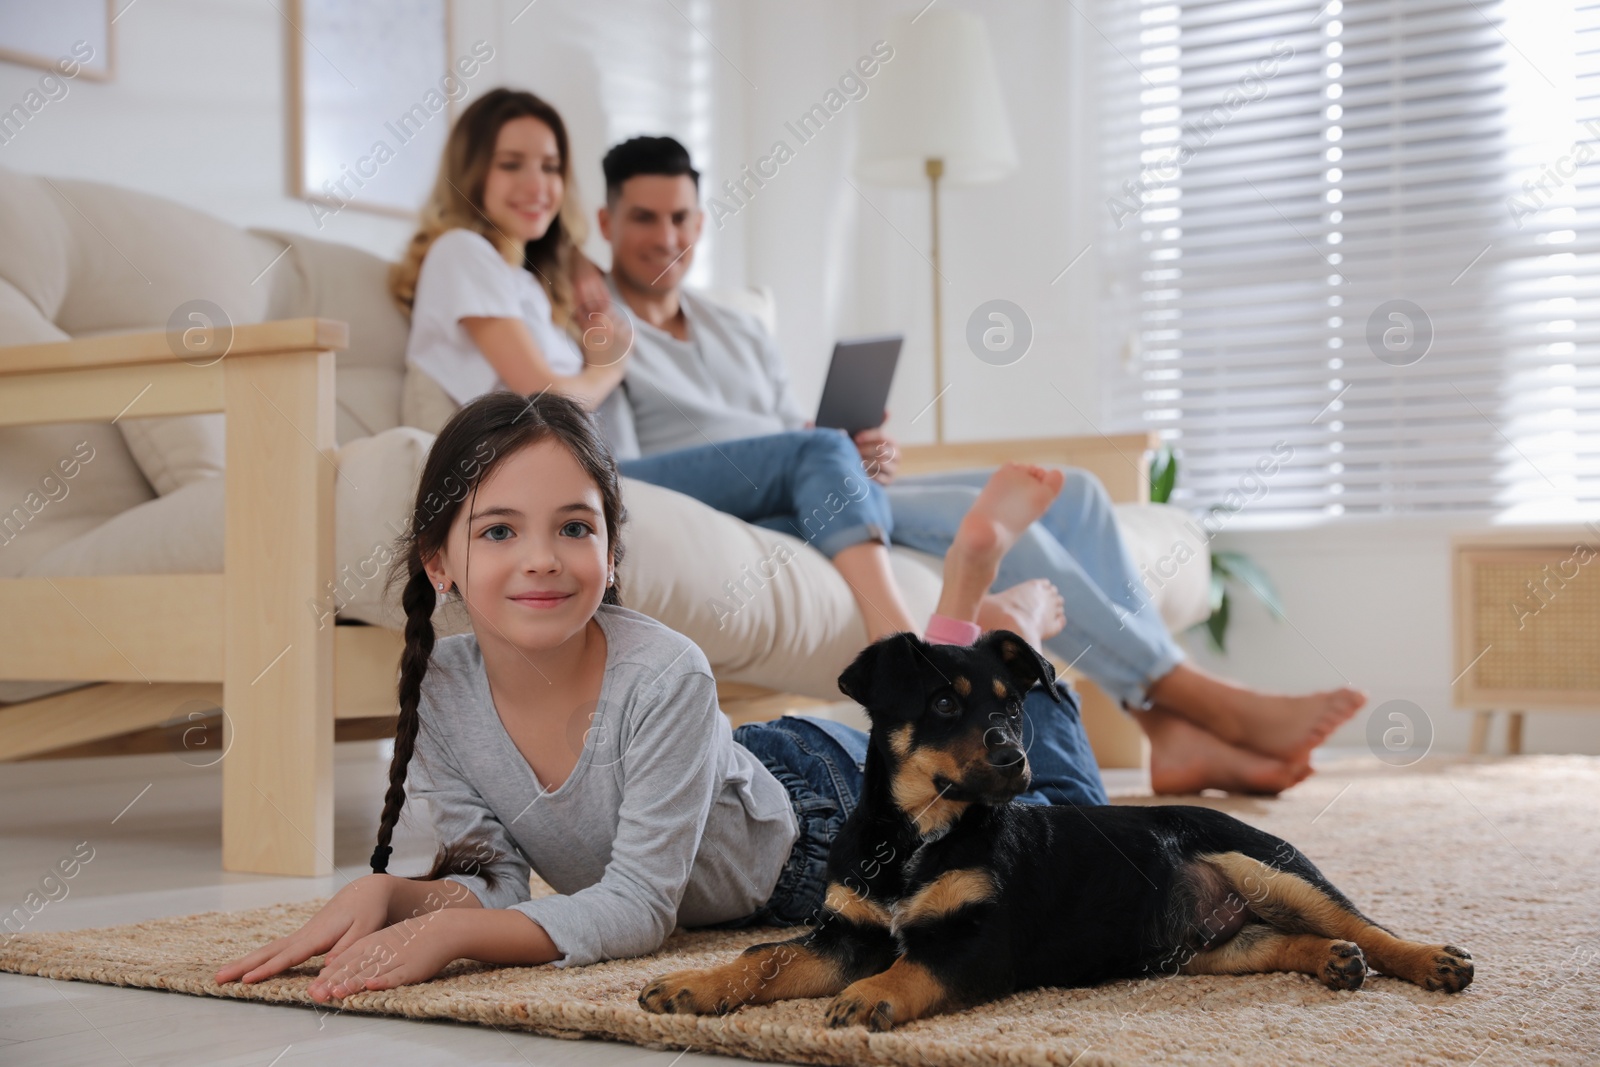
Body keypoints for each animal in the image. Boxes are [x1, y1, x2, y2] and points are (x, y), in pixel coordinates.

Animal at [640, 630, 1472, 1030]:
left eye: (1014, 704)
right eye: (945, 704)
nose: (1014, 758)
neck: (913, 836)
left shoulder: (980, 941)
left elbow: (914, 966)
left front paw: (870, 997)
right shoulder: (846, 932)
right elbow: (764, 955)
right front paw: (688, 985)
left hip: (1270, 864)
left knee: (1363, 921)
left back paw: (1432, 959)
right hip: (1203, 945)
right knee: (1281, 940)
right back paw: (1332, 960)